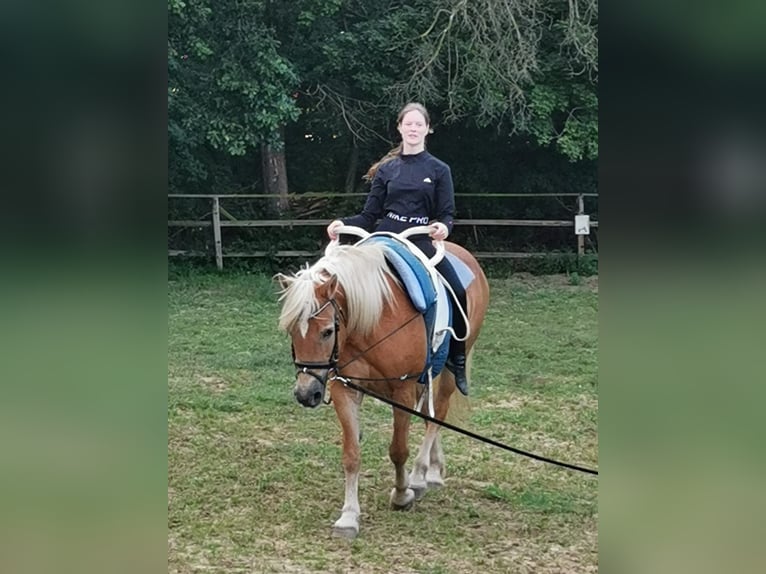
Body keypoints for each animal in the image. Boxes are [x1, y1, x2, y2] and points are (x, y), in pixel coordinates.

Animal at [276, 228, 492, 540]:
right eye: (291, 330)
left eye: (327, 331)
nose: (307, 393)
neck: (369, 323)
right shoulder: (344, 389)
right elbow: (351, 454)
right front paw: (348, 517)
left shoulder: (401, 389)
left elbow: (398, 449)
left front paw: (402, 495)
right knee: (430, 414)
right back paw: (434, 469)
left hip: (451, 369)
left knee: (437, 414)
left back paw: (422, 476)